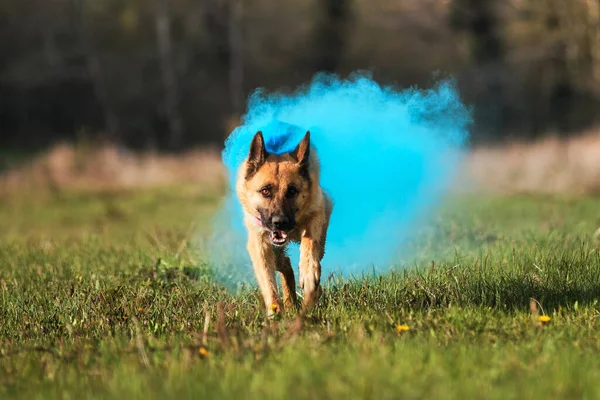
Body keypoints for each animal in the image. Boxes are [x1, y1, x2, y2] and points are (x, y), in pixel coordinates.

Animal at [237, 131, 332, 316]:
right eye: (265, 191)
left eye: (292, 191)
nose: (279, 223)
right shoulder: (259, 243)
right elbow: (268, 280)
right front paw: (276, 312)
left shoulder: (317, 213)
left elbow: (310, 244)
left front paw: (309, 274)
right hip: (275, 252)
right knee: (285, 263)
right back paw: (290, 303)